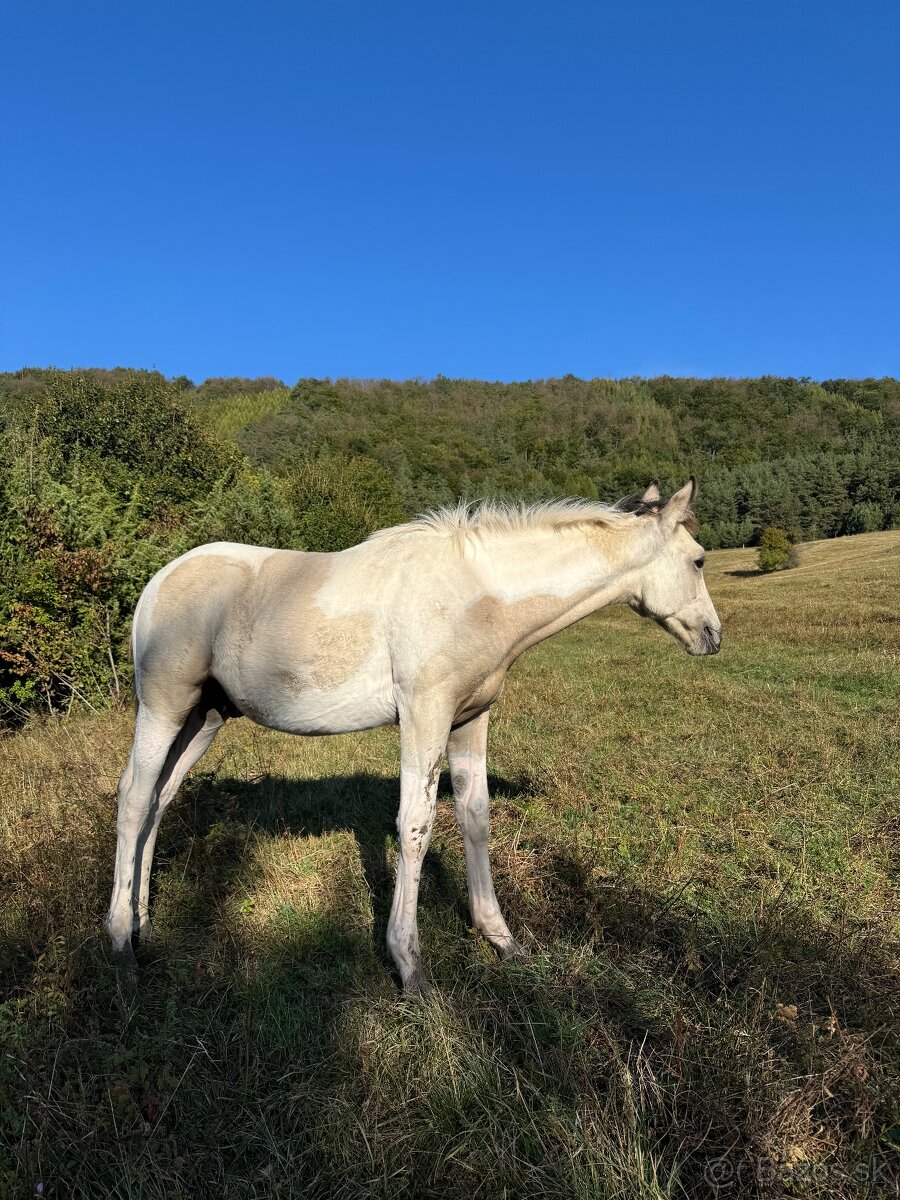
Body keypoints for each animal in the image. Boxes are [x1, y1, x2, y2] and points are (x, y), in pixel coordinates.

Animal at [109, 480, 724, 993]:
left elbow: (474, 815)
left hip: (205, 718)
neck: (476, 594)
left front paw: (502, 940)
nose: (714, 637)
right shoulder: (424, 715)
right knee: (135, 798)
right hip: (164, 707)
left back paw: (143, 924)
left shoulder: (469, 720)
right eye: (698, 560)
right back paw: (120, 946)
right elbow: (416, 825)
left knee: (160, 798)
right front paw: (410, 966)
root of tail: (157, 582)